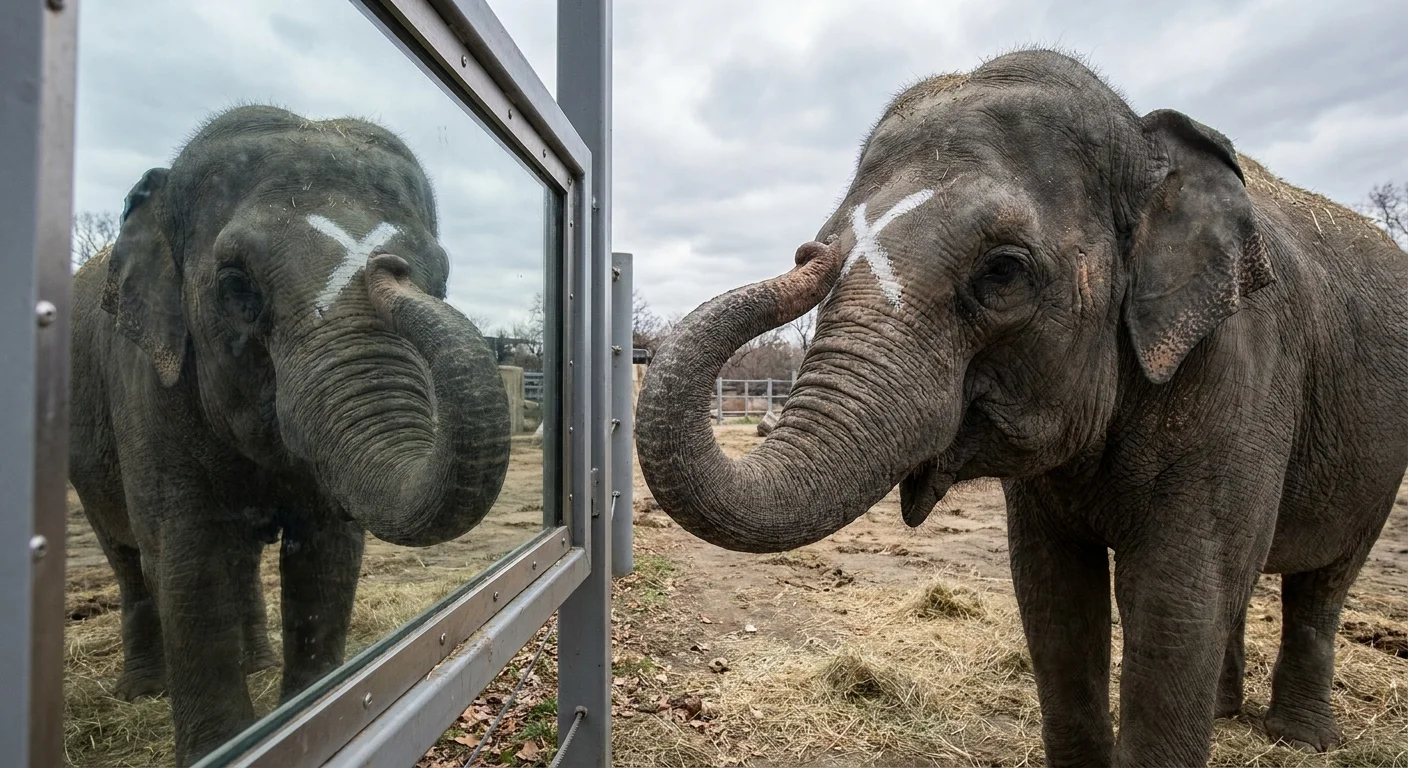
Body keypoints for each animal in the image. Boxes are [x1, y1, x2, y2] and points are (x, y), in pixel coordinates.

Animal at [69, 104, 513, 766]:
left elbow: (327, 551)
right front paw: (222, 745)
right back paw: (141, 691)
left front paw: (312, 711)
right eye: (236, 285)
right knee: (126, 555)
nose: (388, 266)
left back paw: (257, 661)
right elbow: (187, 556)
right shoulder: (145, 382)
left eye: (442, 276)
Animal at [634, 49, 1408, 767]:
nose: (809, 255)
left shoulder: (1239, 368)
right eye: (826, 246)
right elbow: (1052, 591)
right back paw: (1224, 715)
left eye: (1002, 272)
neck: (1147, 146)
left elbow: (1177, 596)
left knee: (1323, 582)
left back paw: (1300, 738)